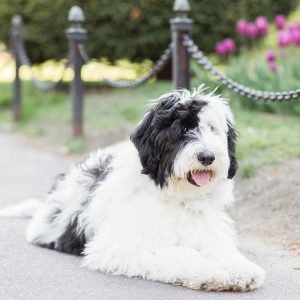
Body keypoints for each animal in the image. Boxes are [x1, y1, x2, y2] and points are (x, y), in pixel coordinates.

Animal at [0, 87, 264, 292]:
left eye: (213, 129)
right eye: (182, 130)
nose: (207, 157)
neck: (177, 198)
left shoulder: (208, 234)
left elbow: (223, 251)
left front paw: (241, 268)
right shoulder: (122, 245)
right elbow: (180, 254)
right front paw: (211, 273)